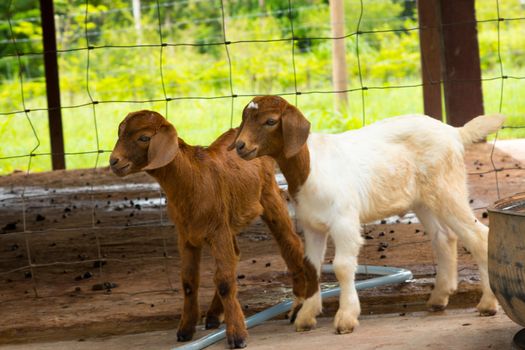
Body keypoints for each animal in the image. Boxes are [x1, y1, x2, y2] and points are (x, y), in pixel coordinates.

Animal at [109, 110, 316, 348]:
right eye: (119, 132)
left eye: (144, 137)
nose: (114, 161)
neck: (191, 178)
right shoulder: (186, 235)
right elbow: (189, 282)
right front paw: (185, 330)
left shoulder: (217, 230)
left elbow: (225, 281)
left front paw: (237, 335)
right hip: (228, 221)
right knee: (235, 256)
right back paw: (214, 315)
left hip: (268, 195)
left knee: (290, 243)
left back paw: (298, 306)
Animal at [231, 95, 502, 334]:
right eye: (245, 118)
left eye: (270, 121)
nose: (240, 146)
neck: (310, 167)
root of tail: (454, 132)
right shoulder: (312, 225)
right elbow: (310, 266)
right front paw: (306, 316)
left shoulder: (344, 221)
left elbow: (341, 266)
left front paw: (346, 318)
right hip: (423, 199)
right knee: (443, 237)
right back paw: (438, 298)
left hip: (448, 187)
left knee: (478, 236)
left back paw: (488, 304)